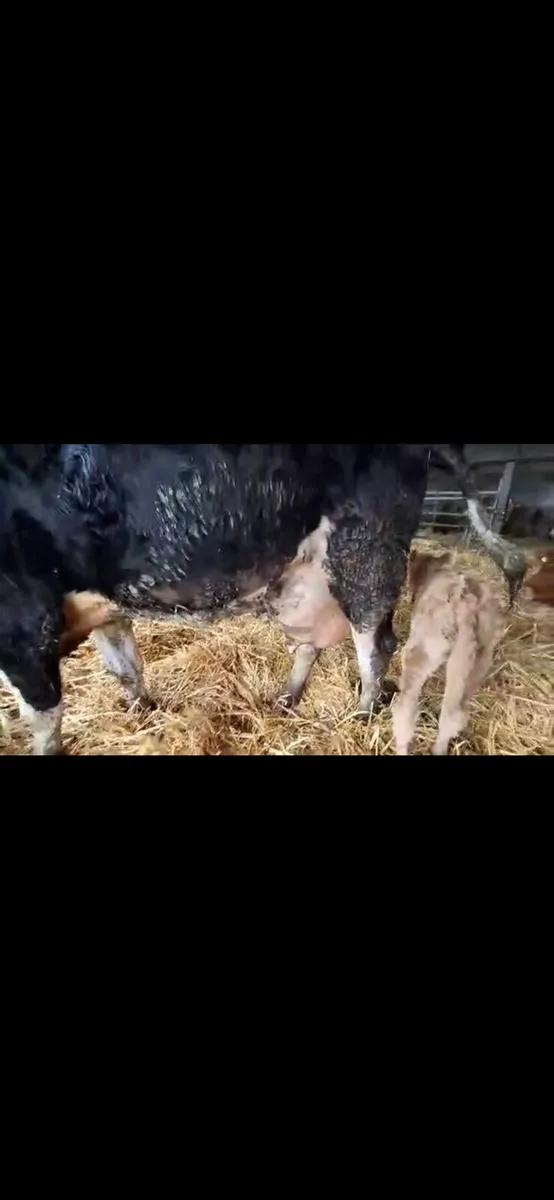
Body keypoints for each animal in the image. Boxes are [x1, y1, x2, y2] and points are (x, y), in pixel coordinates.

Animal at [0, 443, 525, 754]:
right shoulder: (102, 607)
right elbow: (126, 668)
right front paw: (143, 715)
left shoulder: (23, 624)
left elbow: (43, 714)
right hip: (305, 575)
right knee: (312, 642)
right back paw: (287, 700)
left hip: (366, 551)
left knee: (375, 644)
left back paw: (359, 717)